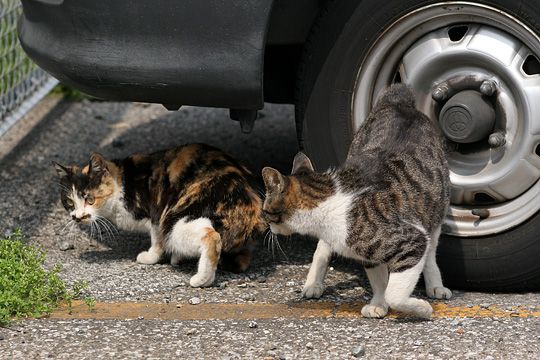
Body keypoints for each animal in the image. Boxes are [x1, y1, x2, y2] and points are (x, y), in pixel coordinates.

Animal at [54, 143, 266, 286]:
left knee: (211, 237)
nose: (77, 216)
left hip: (175, 221)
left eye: (89, 199)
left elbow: (157, 240)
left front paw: (150, 257)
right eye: (70, 202)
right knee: (241, 259)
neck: (122, 184)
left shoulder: (157, 215)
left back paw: (199, 279)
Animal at [262, 83, 452, 318]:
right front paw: (378, 303)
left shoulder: (412, 239)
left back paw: (435, 285)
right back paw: (314, 282)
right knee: (323, 247)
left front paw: (421, 309)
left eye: (265, 211)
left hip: (436, 209)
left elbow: (395, 293)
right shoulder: (366, 254)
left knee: (431, 250)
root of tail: (400, 102)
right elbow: (380, 282)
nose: (266, 228)